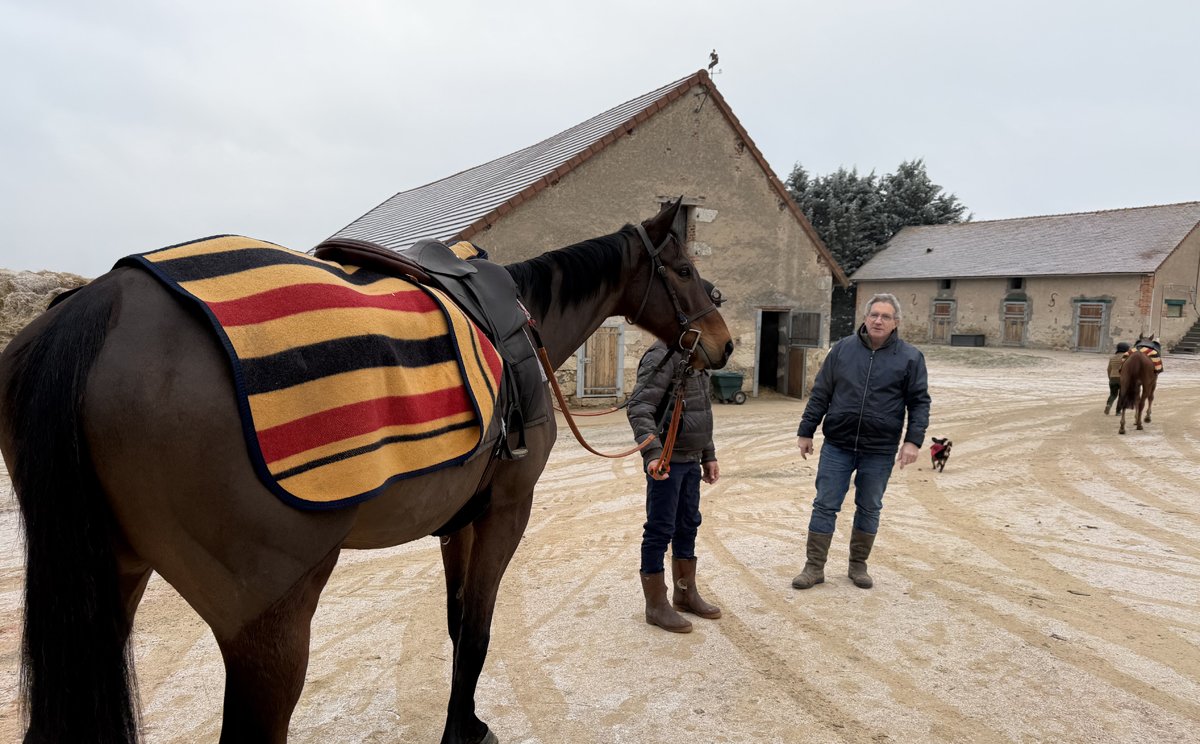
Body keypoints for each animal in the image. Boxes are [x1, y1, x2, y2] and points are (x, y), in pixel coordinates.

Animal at [0, 199, 733, 744]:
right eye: (685, 267)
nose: (724, 344)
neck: (525, 325)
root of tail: (103, 305)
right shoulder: (505, 512)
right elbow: (478, 629)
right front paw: (464, 732)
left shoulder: (458, 524)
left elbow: (457, 624)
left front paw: (464, 720)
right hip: (267, 623)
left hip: (113, 580)